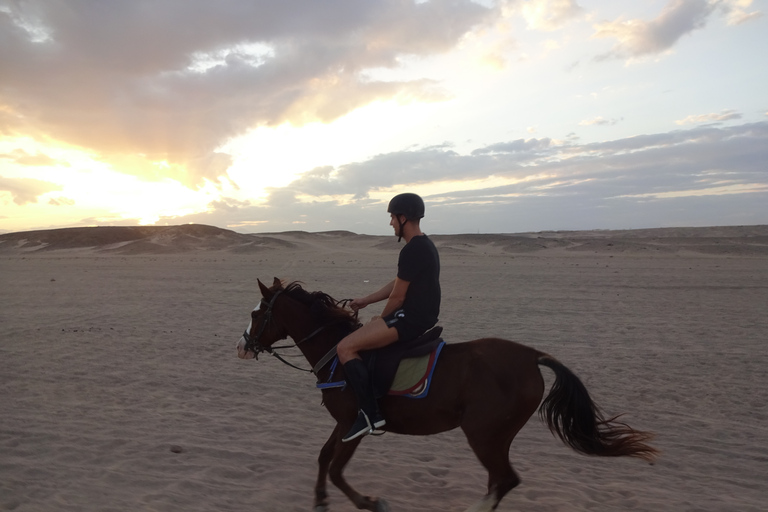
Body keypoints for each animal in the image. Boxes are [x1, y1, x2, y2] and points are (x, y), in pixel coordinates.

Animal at [237, 280, 656, 512]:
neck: (338, 352)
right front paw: (320, 501)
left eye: (257, 314)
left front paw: (371, 503)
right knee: (501, 482)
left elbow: (338, 469)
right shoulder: (344, 425)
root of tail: (531, 356)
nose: (242, 346)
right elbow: (324, 458)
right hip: (494, 436)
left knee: (504, 480)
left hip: (484, 434)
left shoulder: (355, 424)